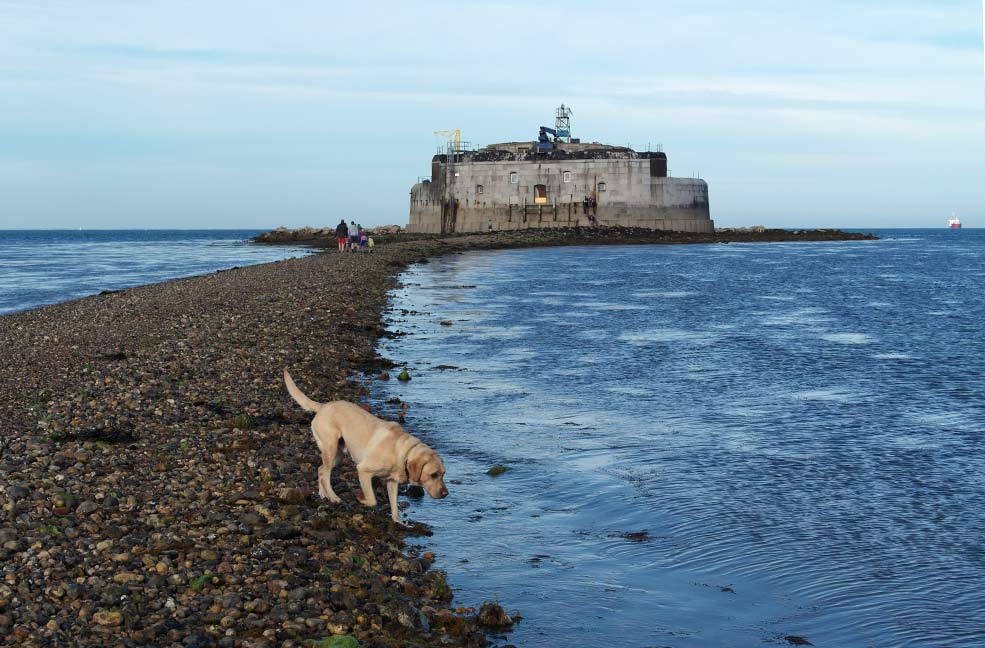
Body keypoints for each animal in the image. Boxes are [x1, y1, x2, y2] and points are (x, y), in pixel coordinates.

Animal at [282, 368, 448, 524]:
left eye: (443, 474)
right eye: (433, 475)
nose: (446, 494)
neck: (404, 452)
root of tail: (323, 406)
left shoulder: (392, 481)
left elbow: (394, 505)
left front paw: (398, 522)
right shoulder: (363, 470)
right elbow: (372, 500)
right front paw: (361, 499)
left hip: (338, 455)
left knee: (321, 470)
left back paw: (324, 495)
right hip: (331, 448)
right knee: (325, 474)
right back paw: (334, 497)